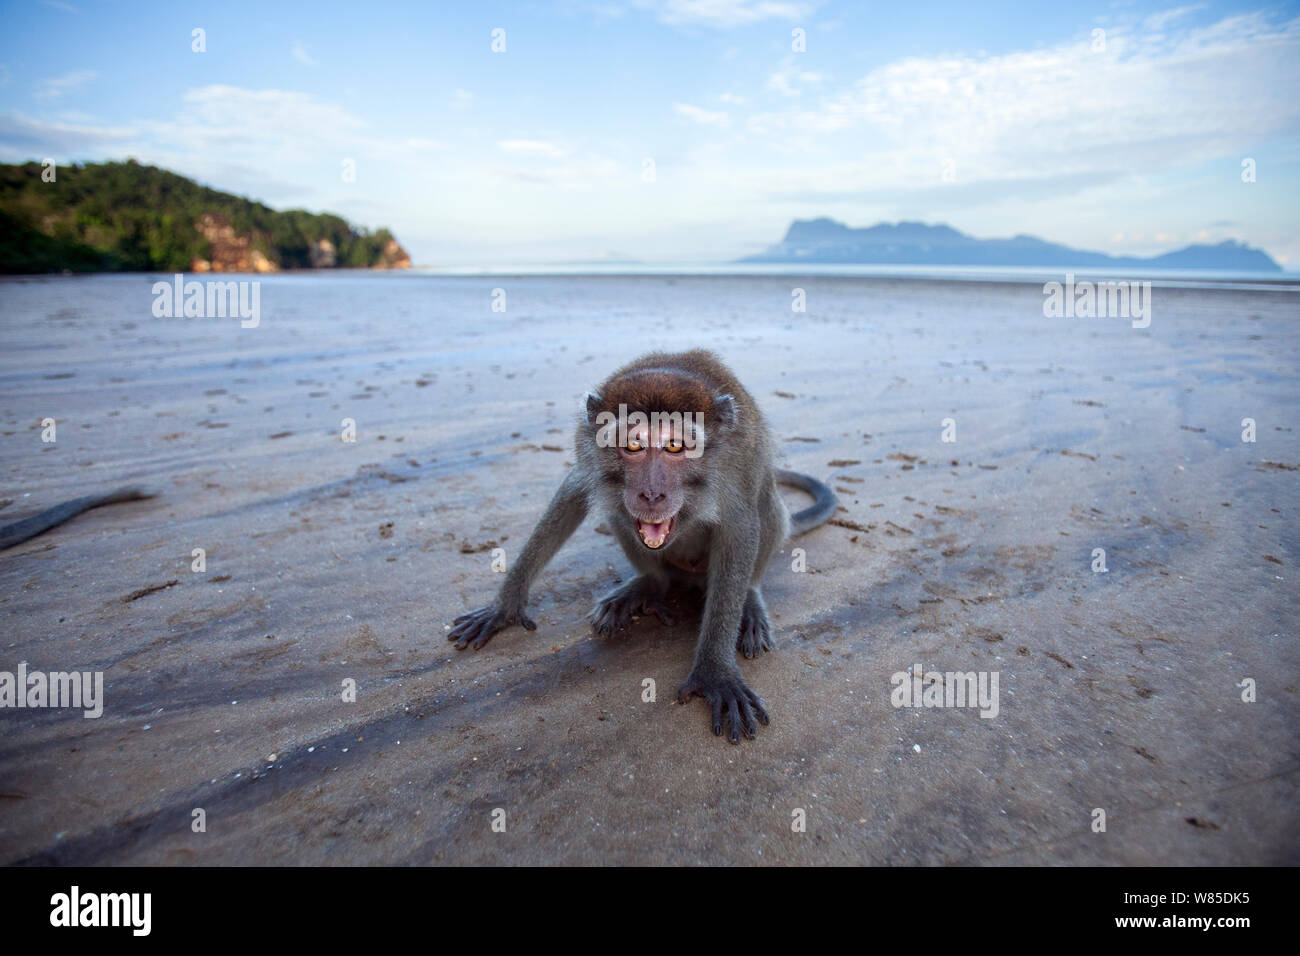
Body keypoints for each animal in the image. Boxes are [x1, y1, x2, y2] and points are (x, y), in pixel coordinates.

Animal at [447, 353, 832, 749]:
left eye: (675, 446)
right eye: (633, 446)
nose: (651, 494)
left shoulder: (736, 466)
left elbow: (739, 526)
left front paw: (716, 670)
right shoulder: (589, 456)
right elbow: (573, 493)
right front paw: (505, 605)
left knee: (765, 501)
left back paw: (750, 599)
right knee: (618, 511)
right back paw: (649, 583)